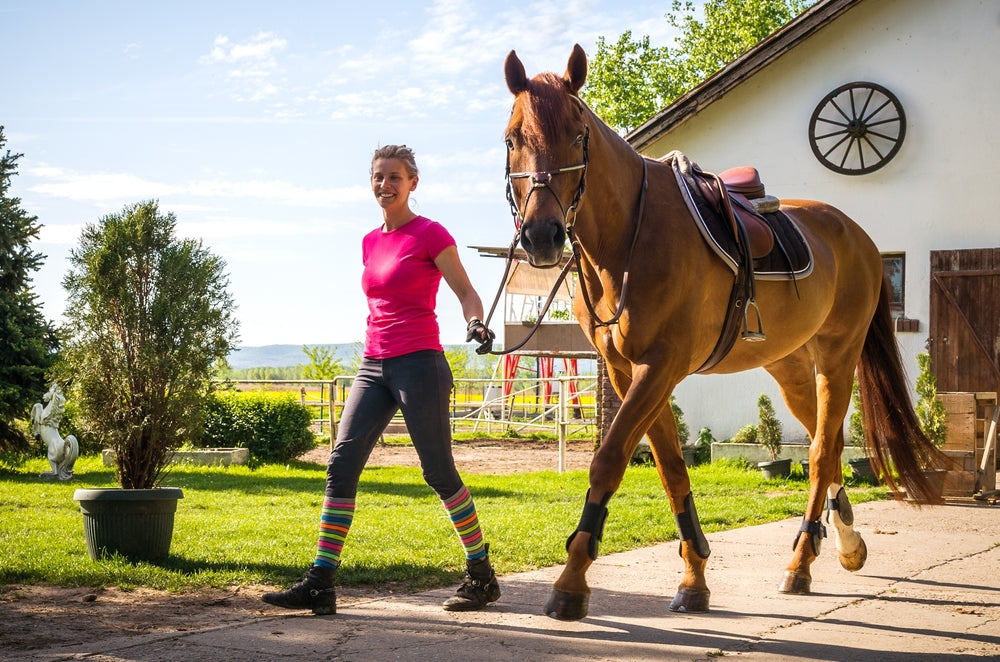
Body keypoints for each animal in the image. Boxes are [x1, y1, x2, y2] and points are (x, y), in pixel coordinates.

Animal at [502, 44, 947, 621]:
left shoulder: (661, 365)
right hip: (790, 367)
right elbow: (671, 469)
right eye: (512, 138)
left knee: (822, 451)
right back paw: (845, 543)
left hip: (837, 359)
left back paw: (801, 563)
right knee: (826, 446)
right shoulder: (627, 371)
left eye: (578, 136)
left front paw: (571, 581)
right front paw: (694, 576)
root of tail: (860, 238)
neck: (629, 238)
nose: (543, 236)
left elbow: (609, 461)